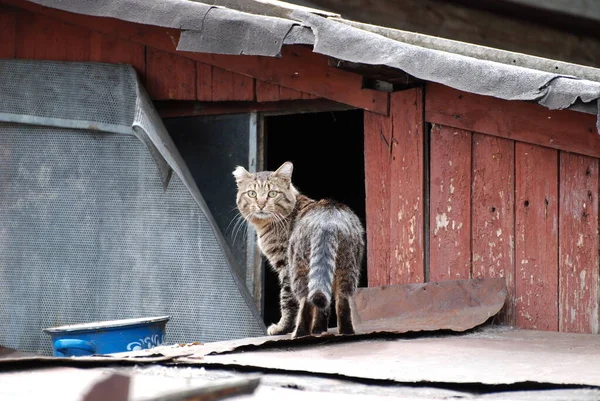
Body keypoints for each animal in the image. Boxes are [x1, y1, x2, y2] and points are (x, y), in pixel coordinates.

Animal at [233, 161, 366, 336]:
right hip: (347, 269)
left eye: (272, 193)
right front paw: (319, 329)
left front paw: (282, 328)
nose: (261, 204)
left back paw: (299, 333)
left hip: (299, 268)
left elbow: (287, 300)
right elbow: (323, 308)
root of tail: (328, 218)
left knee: (305, 302)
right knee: (342, 304)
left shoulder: (284, 265)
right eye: (252, 194)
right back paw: (345, 332)